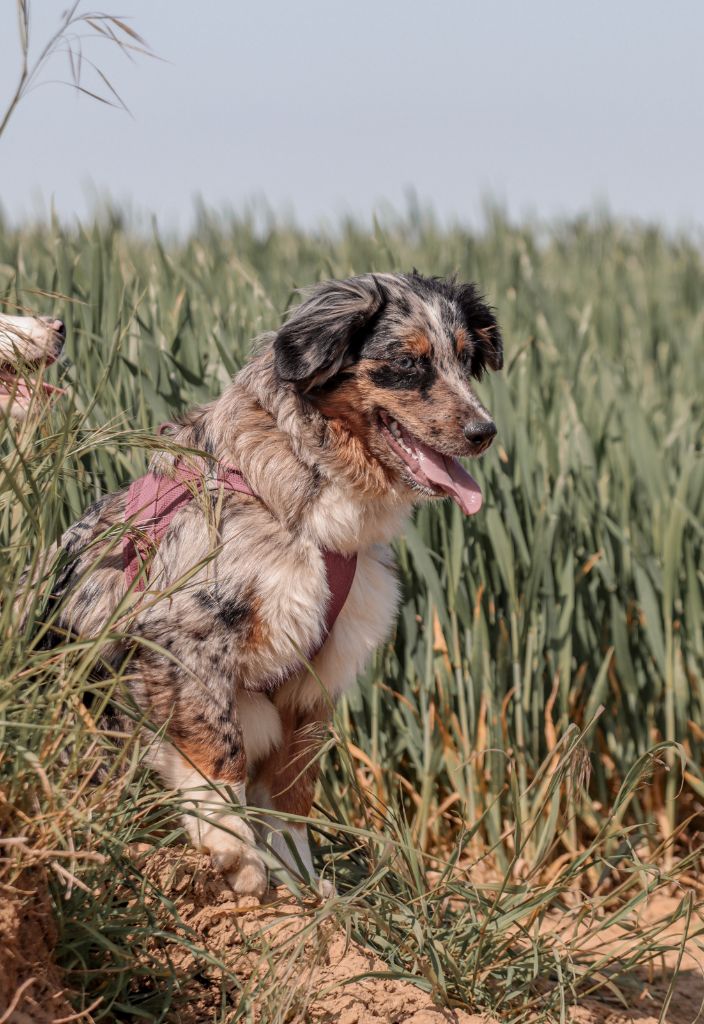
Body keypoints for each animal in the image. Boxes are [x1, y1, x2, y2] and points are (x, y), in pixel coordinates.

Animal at [44, 272, 503, 897]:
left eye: (465, 359)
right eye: (408, 363)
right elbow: (220, 752)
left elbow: (292, 795)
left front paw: (306, 886)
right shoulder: (180, 637)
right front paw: (233, 849)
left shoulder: (313, 680)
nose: (485, 432)